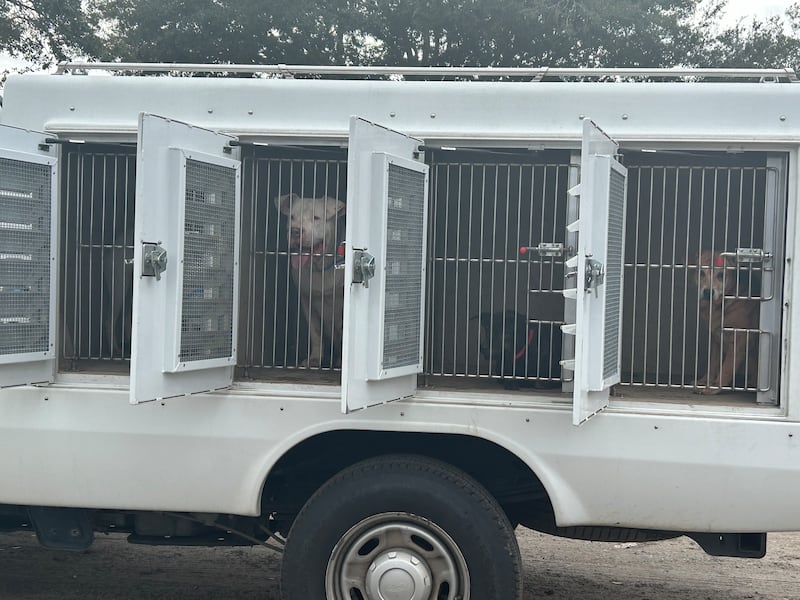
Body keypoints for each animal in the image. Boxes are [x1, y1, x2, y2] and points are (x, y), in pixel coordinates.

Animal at [274, 195, 346, 368]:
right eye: (292, 217)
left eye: (316, 218)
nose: (295, 231)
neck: (320, 267)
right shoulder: (307, 299)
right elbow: (315, 331)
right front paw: (314, 359)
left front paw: (341, 361)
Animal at [692, 250, 756, 394]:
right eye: (701, 273)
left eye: (721, 275)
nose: (708, 292)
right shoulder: (716, 340)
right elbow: (713, 364)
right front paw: (704, 382)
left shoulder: (739, 340)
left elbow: (727, 367)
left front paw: (714, 387)